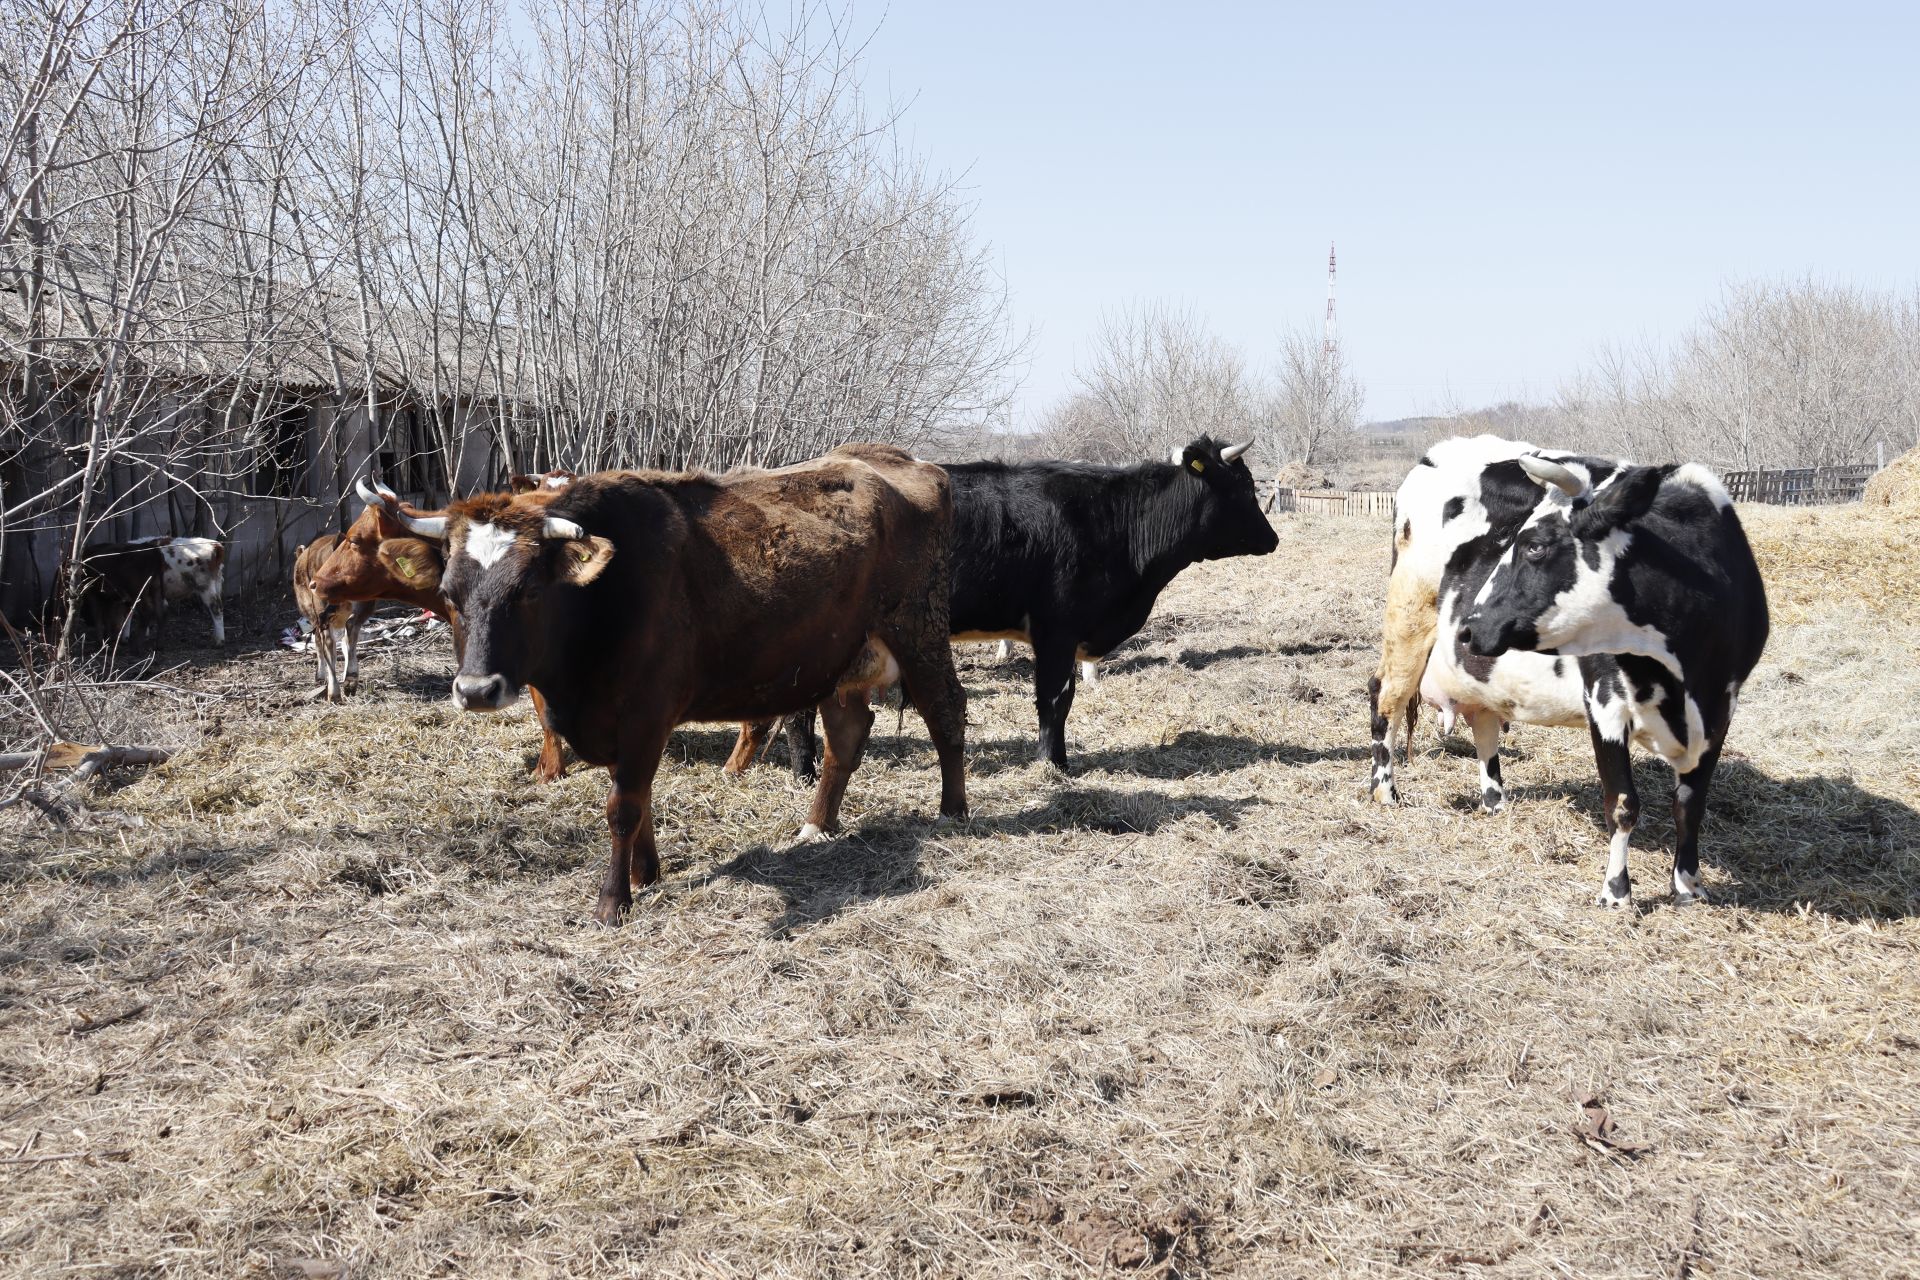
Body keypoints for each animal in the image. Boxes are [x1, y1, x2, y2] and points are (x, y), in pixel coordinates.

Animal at [384, 441, 975, 921]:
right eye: (449, 595)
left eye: (529, 590)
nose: (476, 691)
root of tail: (903, 461)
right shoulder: (616, 720)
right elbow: (638, 796)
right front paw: (645, 874)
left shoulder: (647, 712)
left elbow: (623, 807)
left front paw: (613, 902)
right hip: (841, 658)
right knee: (847, 737)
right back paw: (818, 823)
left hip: (919, 632)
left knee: (946, 711)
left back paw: (953, 811)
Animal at [1459, 450, 1774, 909]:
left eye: (1535, 546)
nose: (1469, 627)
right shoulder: (1605, 701)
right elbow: (1622, 803)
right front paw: (1616, 890)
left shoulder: (1722, 708)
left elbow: (1690, 803)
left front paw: (1688, 885)